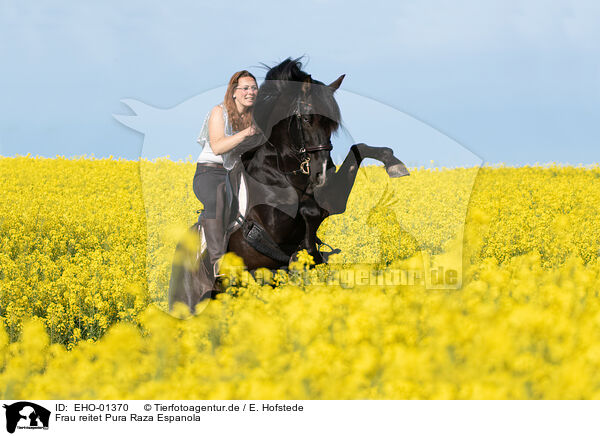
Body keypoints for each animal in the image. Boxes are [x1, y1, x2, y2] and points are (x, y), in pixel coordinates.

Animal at [168, 57, 408, 314]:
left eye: (332, 125)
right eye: (307, 118)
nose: (323, 172)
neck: (283, 171)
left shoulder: (331, 200)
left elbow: (356, 152)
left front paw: (394, 164)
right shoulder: (275, 223)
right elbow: (307, 210)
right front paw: (305, 252)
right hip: (189, 302)